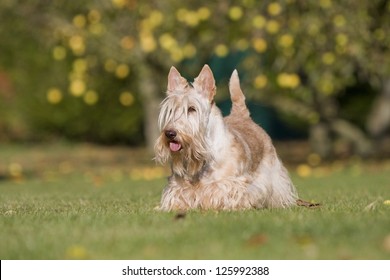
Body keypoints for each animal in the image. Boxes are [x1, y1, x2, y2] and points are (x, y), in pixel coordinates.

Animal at [154, 65, 298, 210]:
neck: (205, 156)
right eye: (171, 110)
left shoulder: (231, 183)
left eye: (192, 109)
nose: (170, 133)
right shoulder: (178, 186)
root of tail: (243, 116)